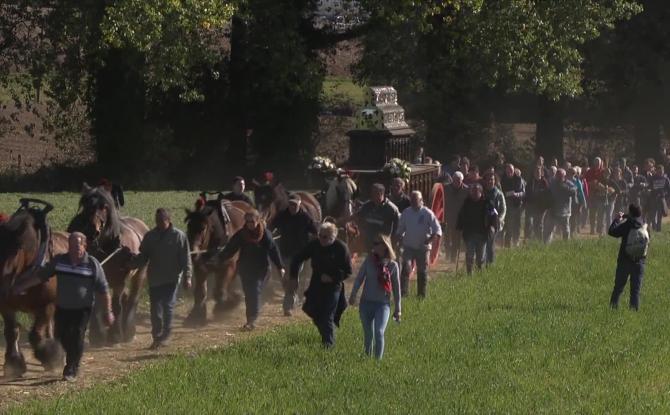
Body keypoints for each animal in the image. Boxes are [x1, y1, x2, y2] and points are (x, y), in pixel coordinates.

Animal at [0, 202, 68, 380]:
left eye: (18, 247)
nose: (2, 286)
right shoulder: (6, 305)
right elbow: (11, 331)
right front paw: (14, 363)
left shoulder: (46, 305)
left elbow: (36, 334)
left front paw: (51, 357)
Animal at [67, 184, 148, 344]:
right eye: (86, 205)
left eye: (104, 207)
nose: (92, 230)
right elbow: (96, 306)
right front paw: (97, 335)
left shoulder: (119, 281)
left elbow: (116, 305)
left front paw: (115, 334)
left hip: (139, 274)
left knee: (132, 299)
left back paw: (128, 331)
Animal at [184, 199, 247, 328]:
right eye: (189, 226)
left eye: (203, 228)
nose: (193, 253)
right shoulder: (200, 267)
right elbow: (200, 292)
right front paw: (196, 314)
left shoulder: (228, 266)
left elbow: (220, 292)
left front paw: (227, 305)